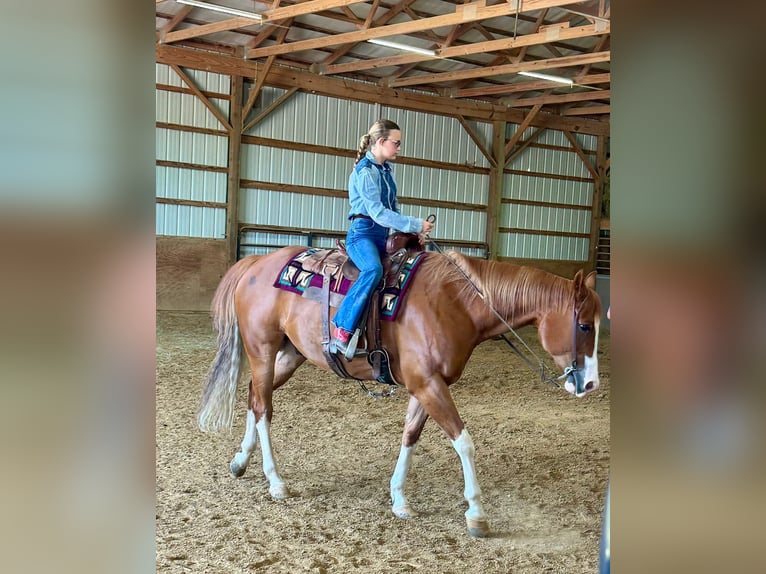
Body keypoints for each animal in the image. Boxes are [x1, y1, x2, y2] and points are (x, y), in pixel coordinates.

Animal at [198, 245, 603, 537]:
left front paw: (399, 500)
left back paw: (240, 461)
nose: (591, 383)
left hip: (288, 355)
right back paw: (276, 481)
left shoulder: (427, 385)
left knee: (254, 398)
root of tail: (257, 263)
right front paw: (476, 512)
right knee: (264, 408)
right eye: (584, 325)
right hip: (263, 351)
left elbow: (410, 435)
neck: (457, 303)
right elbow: (464, 442)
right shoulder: (428, 384)